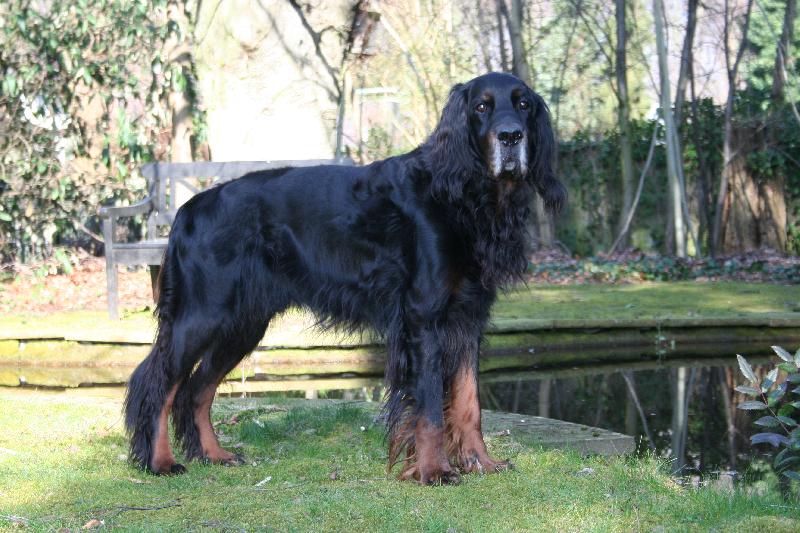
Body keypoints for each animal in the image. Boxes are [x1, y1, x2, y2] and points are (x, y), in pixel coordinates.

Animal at [124, 72, 566, 485]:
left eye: (523, 103)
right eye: (481, 107)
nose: (511, 136)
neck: (462, 194)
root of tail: (188, 208)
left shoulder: (469, 317)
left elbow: (469, 401)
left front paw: (480, 462)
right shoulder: (424, 317)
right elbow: (428, 406)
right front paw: (432, 470)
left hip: (241, 322)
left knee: (197, 390)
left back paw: (215, 454)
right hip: (201, 315)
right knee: (156, 383)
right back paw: (160, 461)